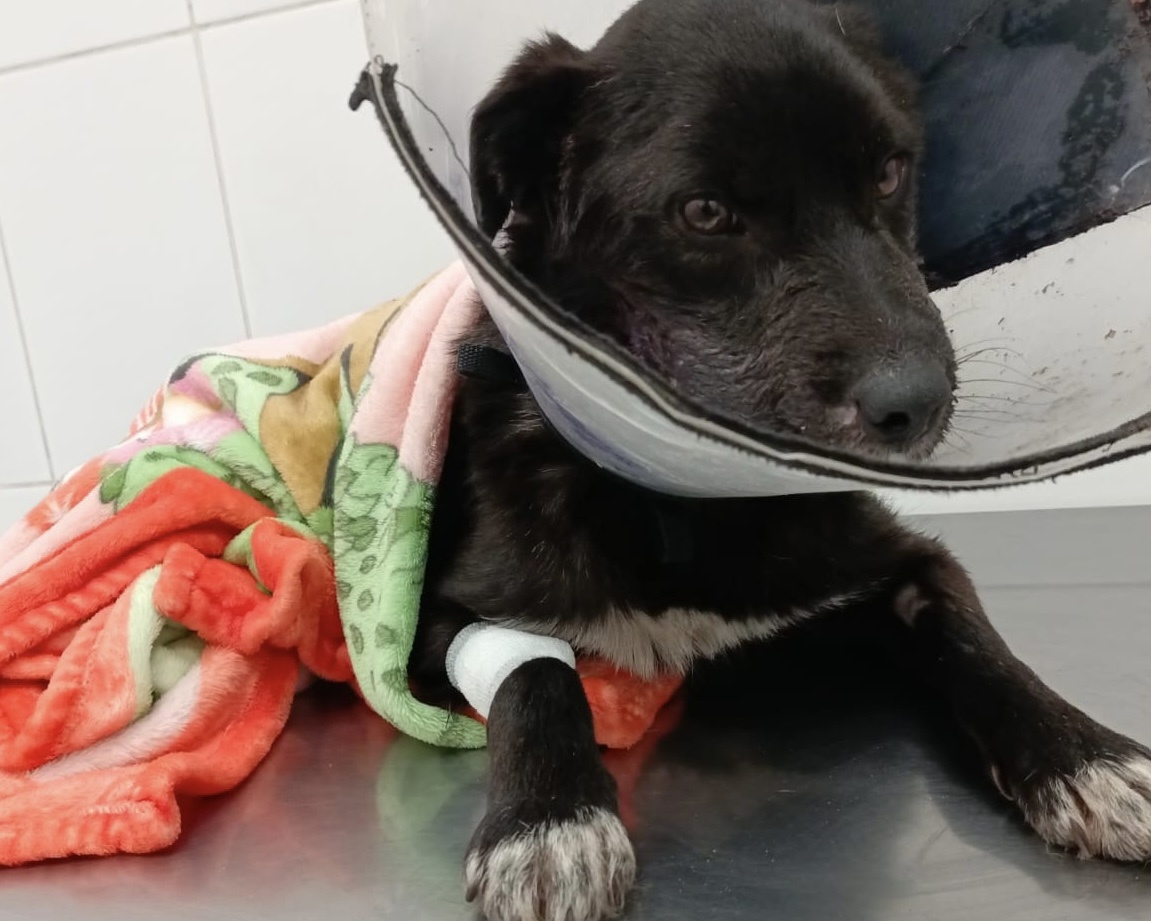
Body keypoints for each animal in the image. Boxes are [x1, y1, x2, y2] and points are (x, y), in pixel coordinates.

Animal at [405, 1, 1151, 919]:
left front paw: (1089, 756)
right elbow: (535, 677)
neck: (685, 506)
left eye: (889, 172)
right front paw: (548, 821)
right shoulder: (442, 614)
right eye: (704, 212)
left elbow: (975, 639)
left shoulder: (904, 559)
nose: (920, 403)